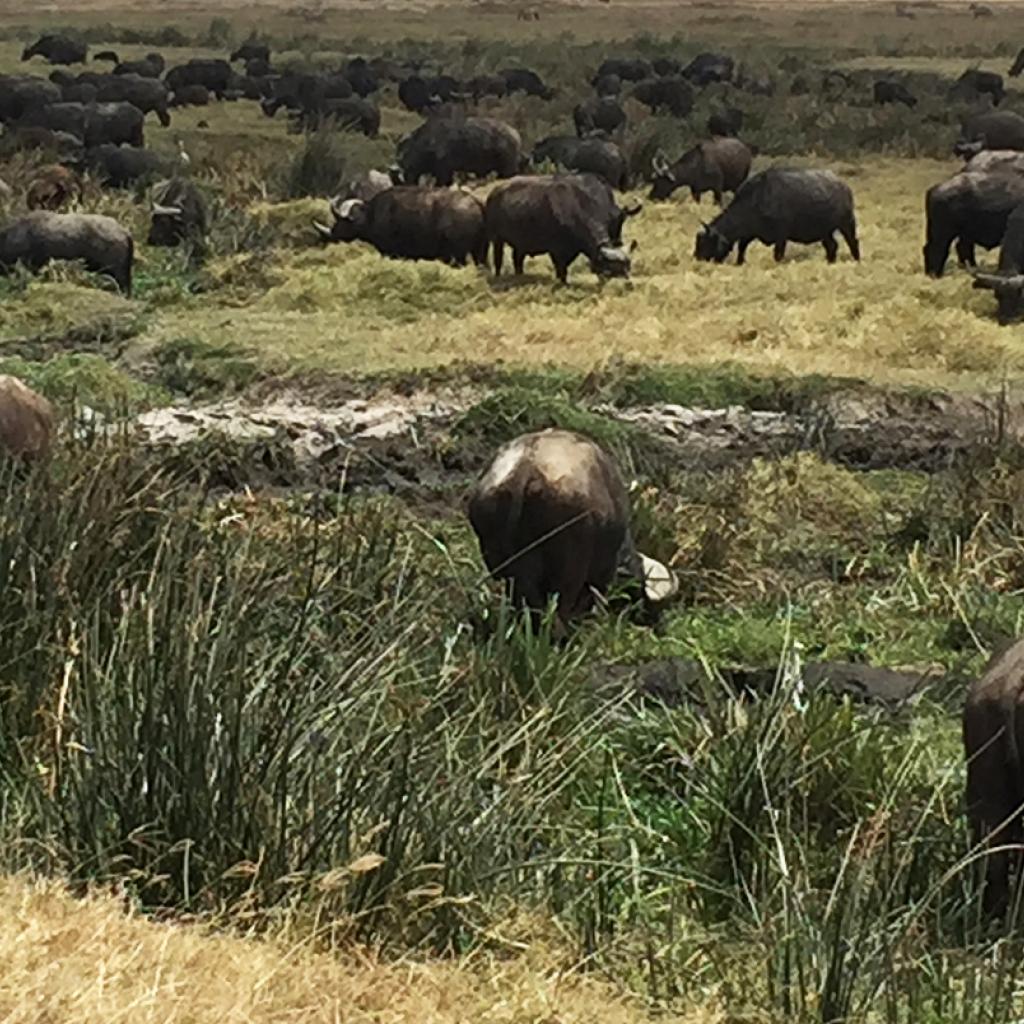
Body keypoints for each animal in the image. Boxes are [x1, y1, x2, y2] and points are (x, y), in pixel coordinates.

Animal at [311, 187, 487, 268]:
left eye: (339, 220)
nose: (328, 235)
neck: (372, 214)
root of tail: (476, 203)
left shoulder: (390, 253)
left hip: (458, 255)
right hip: (478, 252)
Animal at [483, 173, 634, 282]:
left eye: (627, 267)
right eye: (610, 270)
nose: (628, 283)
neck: (572, 211)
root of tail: (494, 193)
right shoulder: (556, 251)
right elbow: (561, 269)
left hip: (520, 243)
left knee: (517, 259)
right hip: (497, 239)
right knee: (498, 260)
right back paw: (498, 276)